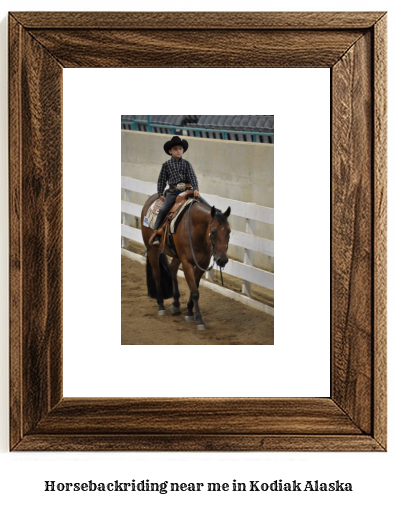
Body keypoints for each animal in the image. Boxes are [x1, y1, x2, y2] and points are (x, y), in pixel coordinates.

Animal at [141, 192, 230, 332]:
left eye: (229, 232)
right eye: (213, 232)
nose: (222, 260)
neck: (195, 229)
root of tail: (151, 199)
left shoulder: (203, 263)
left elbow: (195, 287)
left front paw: (189, 312)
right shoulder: (187, 262)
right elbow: (194, 292)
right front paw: (199, 319)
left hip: (176, 255)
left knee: (172, 269)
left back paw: (176, 304)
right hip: (152, 249)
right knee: (157, 274)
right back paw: (161, 305)